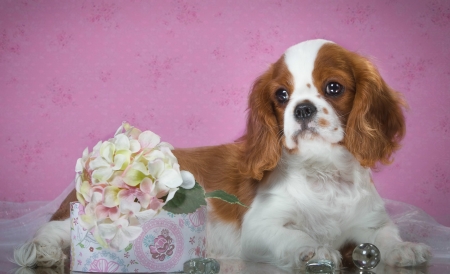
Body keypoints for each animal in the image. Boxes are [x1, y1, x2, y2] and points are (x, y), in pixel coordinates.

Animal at [14, 39, 430, 270]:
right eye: (282, 95)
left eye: (333, 87)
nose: (302, 109)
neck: (322, 170)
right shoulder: (260, 228)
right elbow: (294, 236)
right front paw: (313, 249)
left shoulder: (371, 225)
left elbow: (386, 238)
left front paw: (405, 249)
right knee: (53, 230)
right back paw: (44, 252)